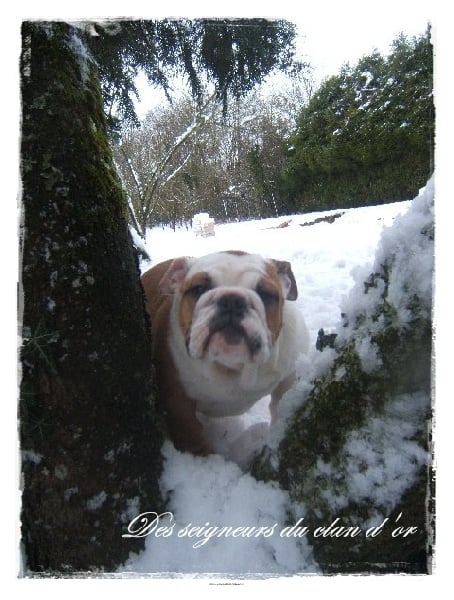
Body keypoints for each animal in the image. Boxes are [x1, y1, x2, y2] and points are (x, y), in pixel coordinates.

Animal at [141, 250, 309, 455]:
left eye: (266, 294)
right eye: (198, 289)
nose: (232, 300)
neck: (231, 366)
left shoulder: (289, 376)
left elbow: (282, 405)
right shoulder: (175, 395)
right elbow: (189, 431)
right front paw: (203, 458)